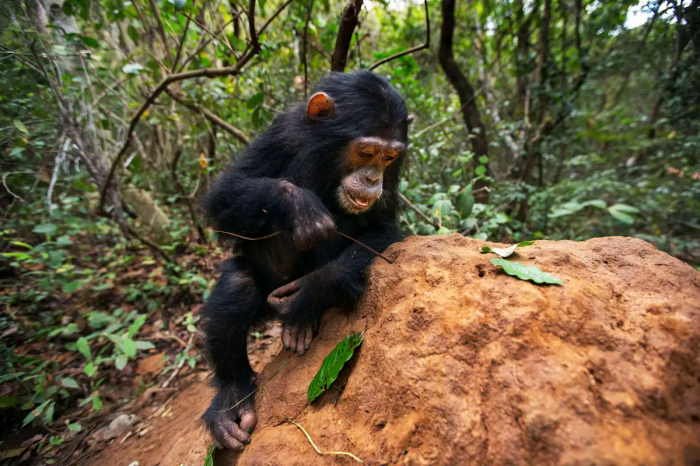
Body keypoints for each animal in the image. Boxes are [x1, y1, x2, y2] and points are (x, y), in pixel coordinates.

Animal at [200, 71, 410, 450]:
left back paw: (301, 321)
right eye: (366, 152)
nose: (373, 178)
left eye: (389, 157)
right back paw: (231, 400)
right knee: (239, 285)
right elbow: (225, 195)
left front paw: (313, 289)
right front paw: (300, 205)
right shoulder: (281, 132)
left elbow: (382, 228)